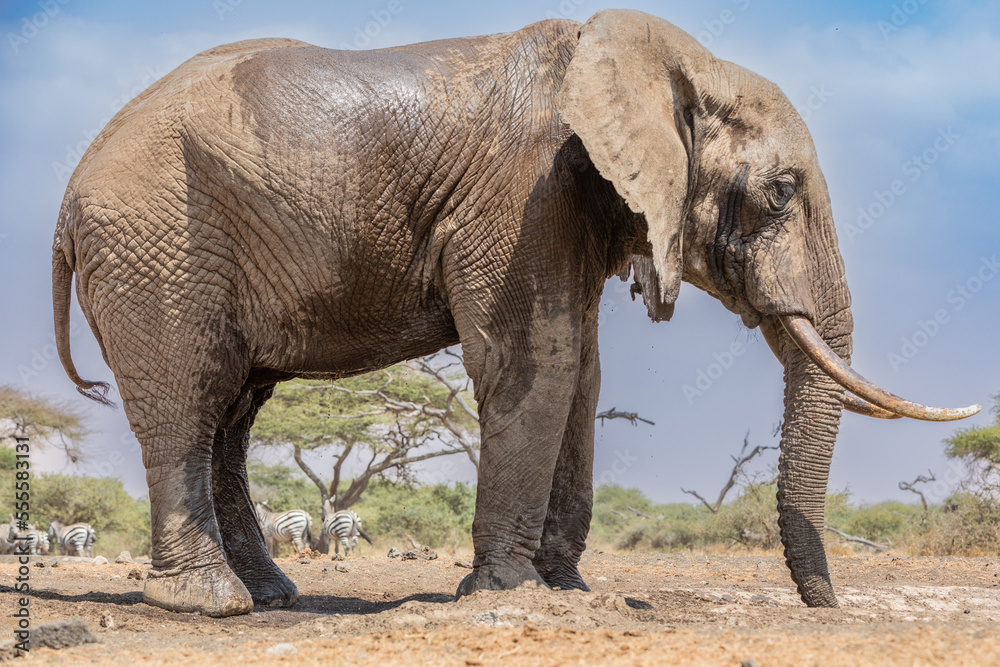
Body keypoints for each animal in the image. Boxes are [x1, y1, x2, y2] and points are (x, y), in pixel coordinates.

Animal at [52, 10, 976, 620]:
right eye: (781, 193)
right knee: (190, 400)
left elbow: (583, 371)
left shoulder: (574, 204)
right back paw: (211, 601)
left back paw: (274, 595)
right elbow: (540, 361)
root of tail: (68, 201)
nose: (826, 608)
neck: (675, 60)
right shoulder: (526, 192)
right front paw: (506, 590)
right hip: (156, 244)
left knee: (235, 413)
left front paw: (566, 589)